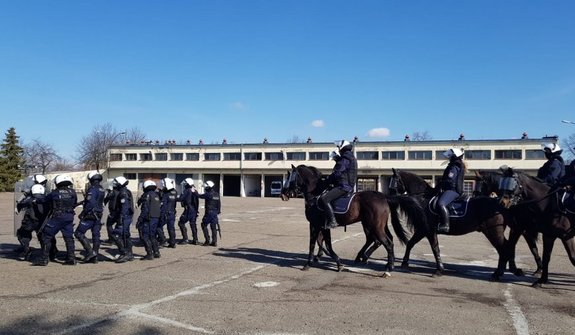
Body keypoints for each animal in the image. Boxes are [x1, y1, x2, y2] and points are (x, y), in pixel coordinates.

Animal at [282, 165, 426, 276]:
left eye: (290, 177)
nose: (283, 193)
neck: (316, 194)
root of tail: (383, 197)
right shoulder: (324, 226)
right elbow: (324, 242)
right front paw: (334, 261)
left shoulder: (314, 225)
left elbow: (313, 243)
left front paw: (308, 263)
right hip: (376, 225)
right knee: (380, 240)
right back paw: (369, 259)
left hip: (374, 226)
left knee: (385, 242)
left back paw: (388, 267)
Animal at [384, 168, 516, 280]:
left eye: (394, 182)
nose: (390, 198)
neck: (423, 199)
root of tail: (499, 204)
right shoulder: (422, 230)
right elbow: (411, 243)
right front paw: (404, 263)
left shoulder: (428, 230)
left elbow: (435, 248)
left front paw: (439, 270)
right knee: (505, 248)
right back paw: (500, 272)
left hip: (493, 232)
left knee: (503, 249)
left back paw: (498, 274)